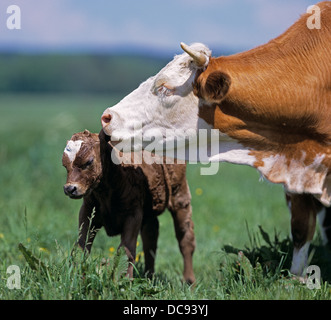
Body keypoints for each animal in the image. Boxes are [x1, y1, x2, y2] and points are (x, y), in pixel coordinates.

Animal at [62, 129, 196, 284]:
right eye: (64, 164)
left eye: (89, 161)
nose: (70, 189)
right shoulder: (87, 210)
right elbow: (81, 246)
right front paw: (77, 277)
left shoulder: (133, 215)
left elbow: (126, 250)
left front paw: (122, 281)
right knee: (150, 237)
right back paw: (148, 277)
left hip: (180, 196)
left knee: (185, 238)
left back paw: (189, 282)